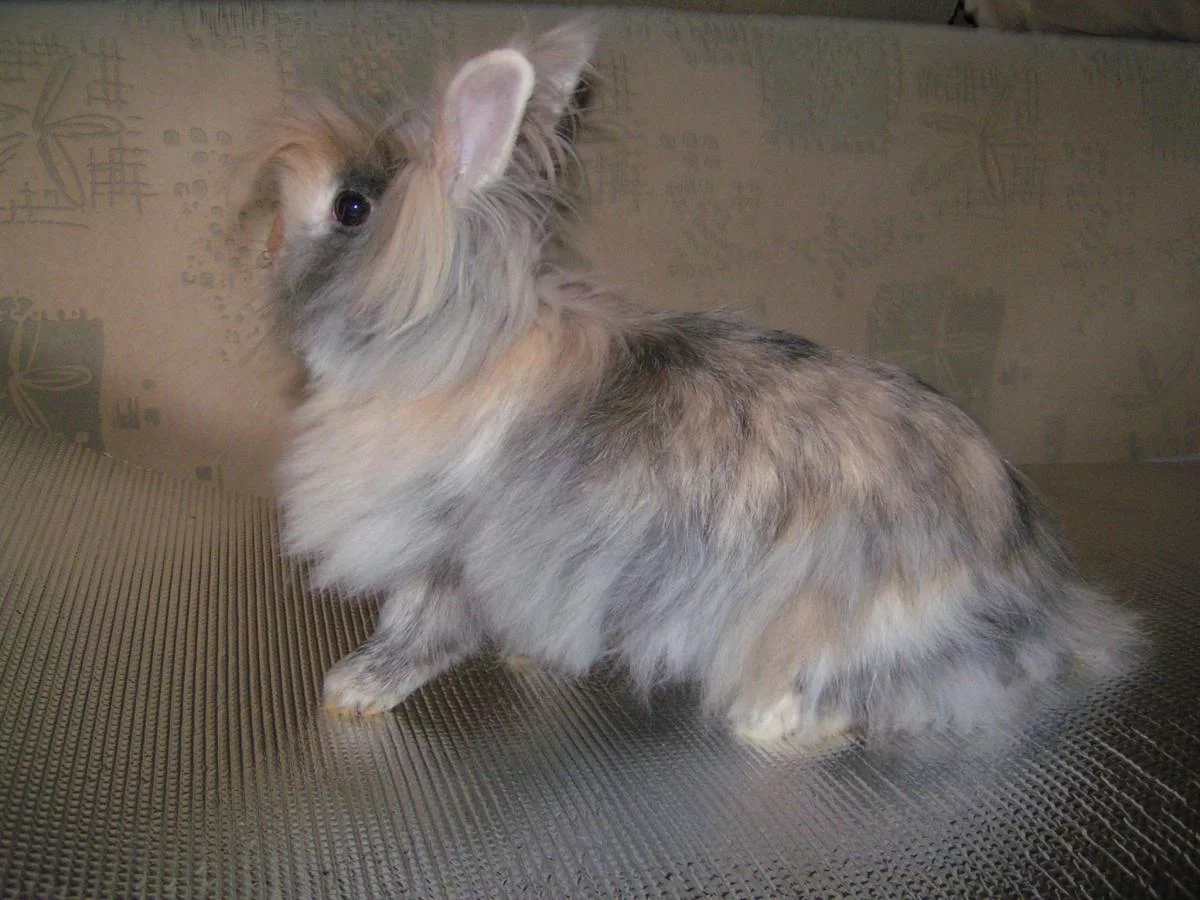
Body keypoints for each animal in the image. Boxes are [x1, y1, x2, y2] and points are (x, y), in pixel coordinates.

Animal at [248, 19, 1142, 747]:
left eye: (351, 207)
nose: (265, 245)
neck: (443, 349)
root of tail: (1037, 580)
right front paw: (528, 658)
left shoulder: (450, 552)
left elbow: (422, 628)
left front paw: (353, 689)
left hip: (837, 609)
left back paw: (766, 719)